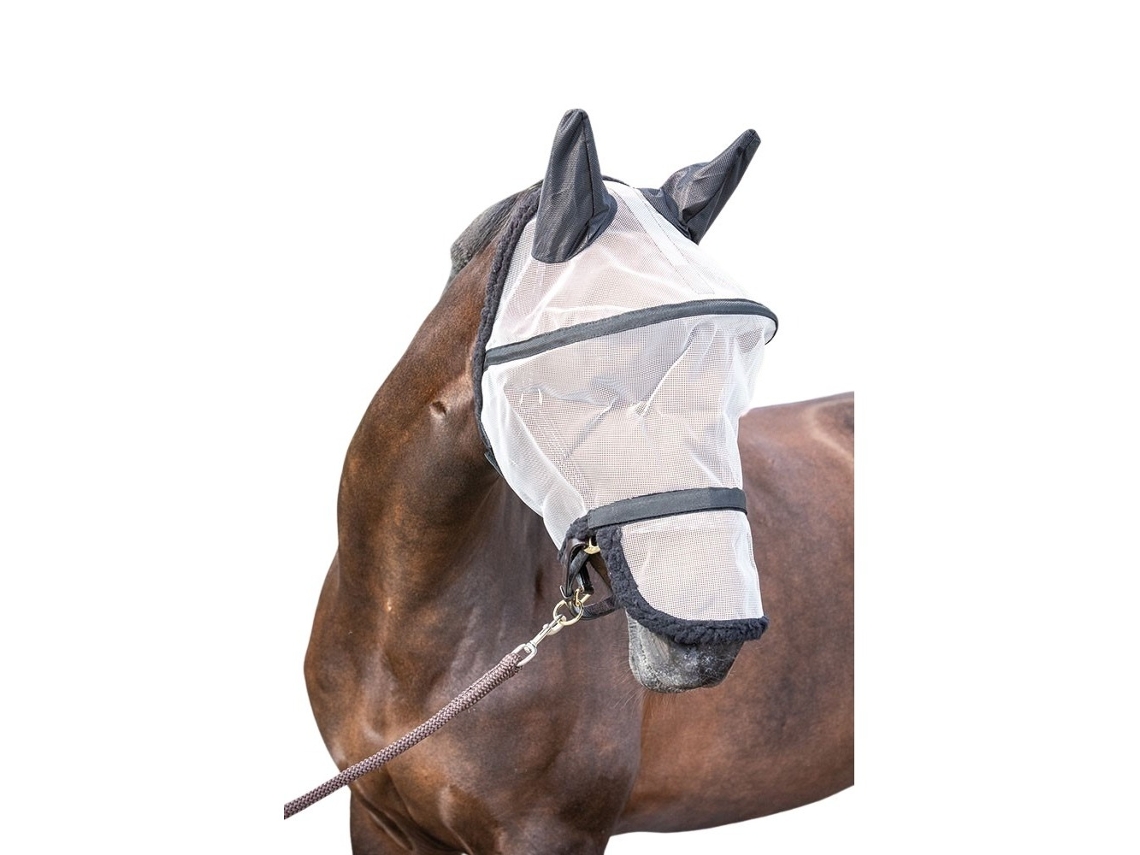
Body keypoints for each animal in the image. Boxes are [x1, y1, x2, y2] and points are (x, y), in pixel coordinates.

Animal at [303, 110, 853, 853]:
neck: (404, 627)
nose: (709, 641)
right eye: (586, 377)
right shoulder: (377, 820)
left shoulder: (550, 832)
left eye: (732, 378)